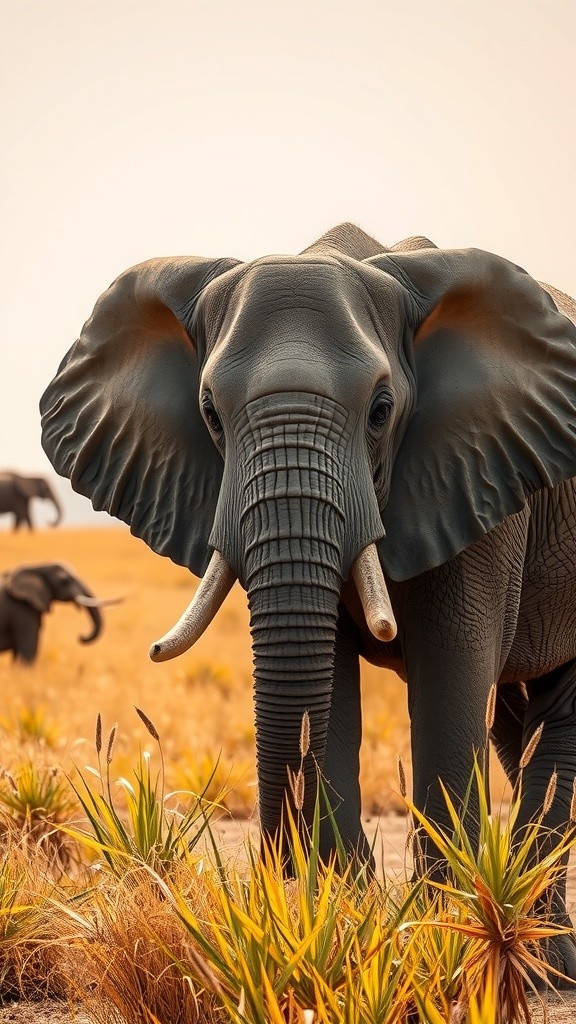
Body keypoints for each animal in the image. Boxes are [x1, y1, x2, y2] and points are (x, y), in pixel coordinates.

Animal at [40, 222, 576, 979]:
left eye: (381, 412)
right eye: (209, 413)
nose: (275, 872)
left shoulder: (480, 471)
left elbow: (452, 671)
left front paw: (437, 944)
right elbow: (333, 691)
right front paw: (350, 917)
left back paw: (544, 964)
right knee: (516, 724)